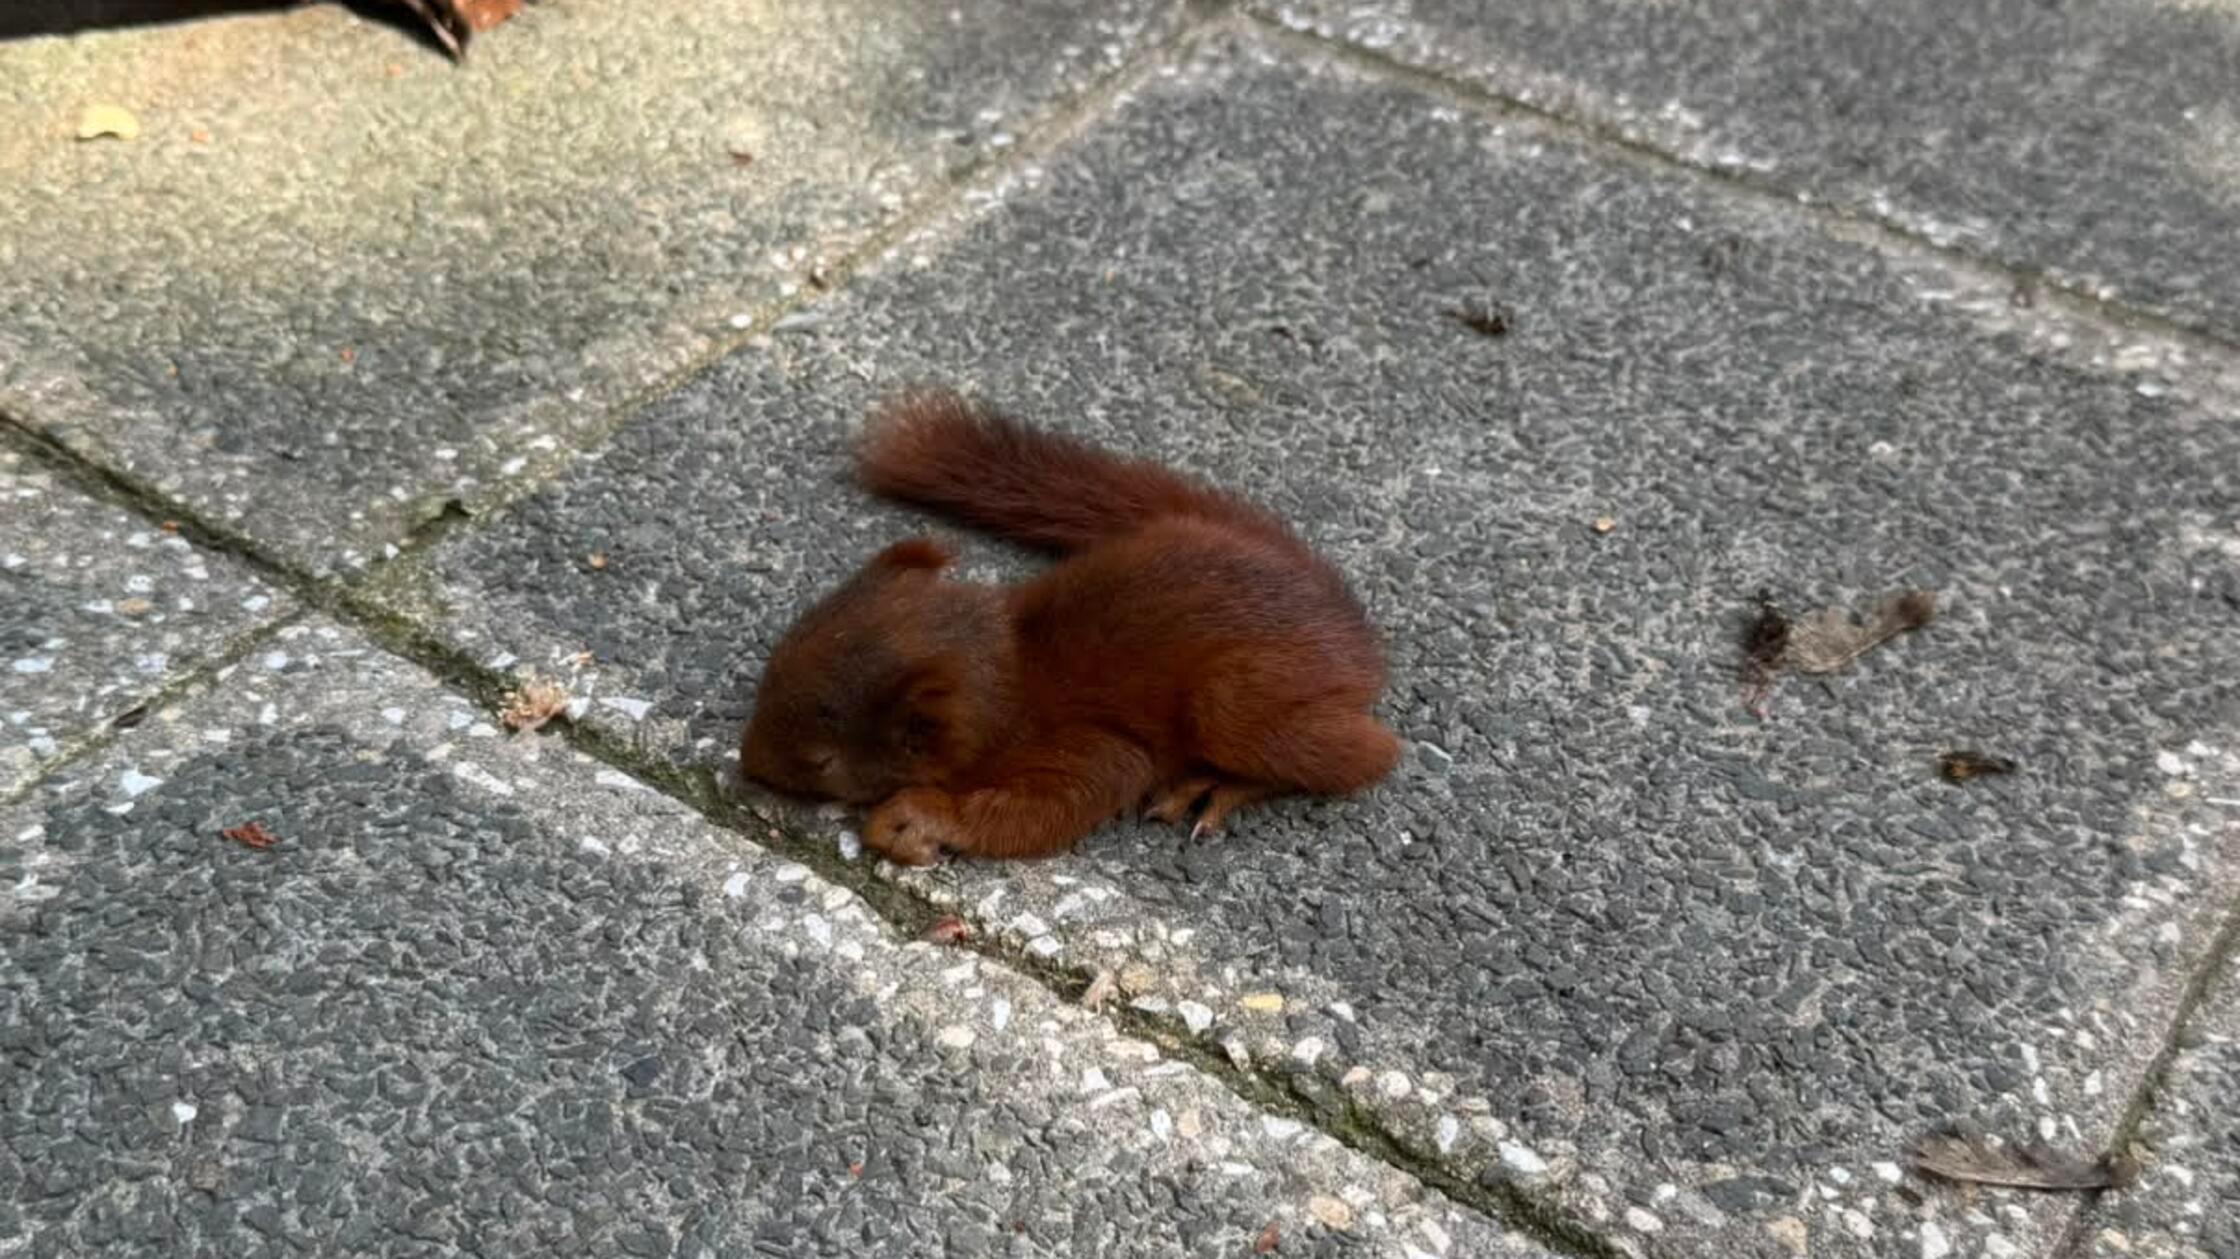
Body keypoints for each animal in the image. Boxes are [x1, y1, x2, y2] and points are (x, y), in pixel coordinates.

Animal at [738, 390, 1401, 866]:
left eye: (820, 762)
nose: (746, 765)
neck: (1010, 669)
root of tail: (1342, 615)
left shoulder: (1086, 743)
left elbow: (1068, 797)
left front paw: (918, 817)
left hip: (1237, 699)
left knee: (1370, 754)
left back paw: (1222, 782)